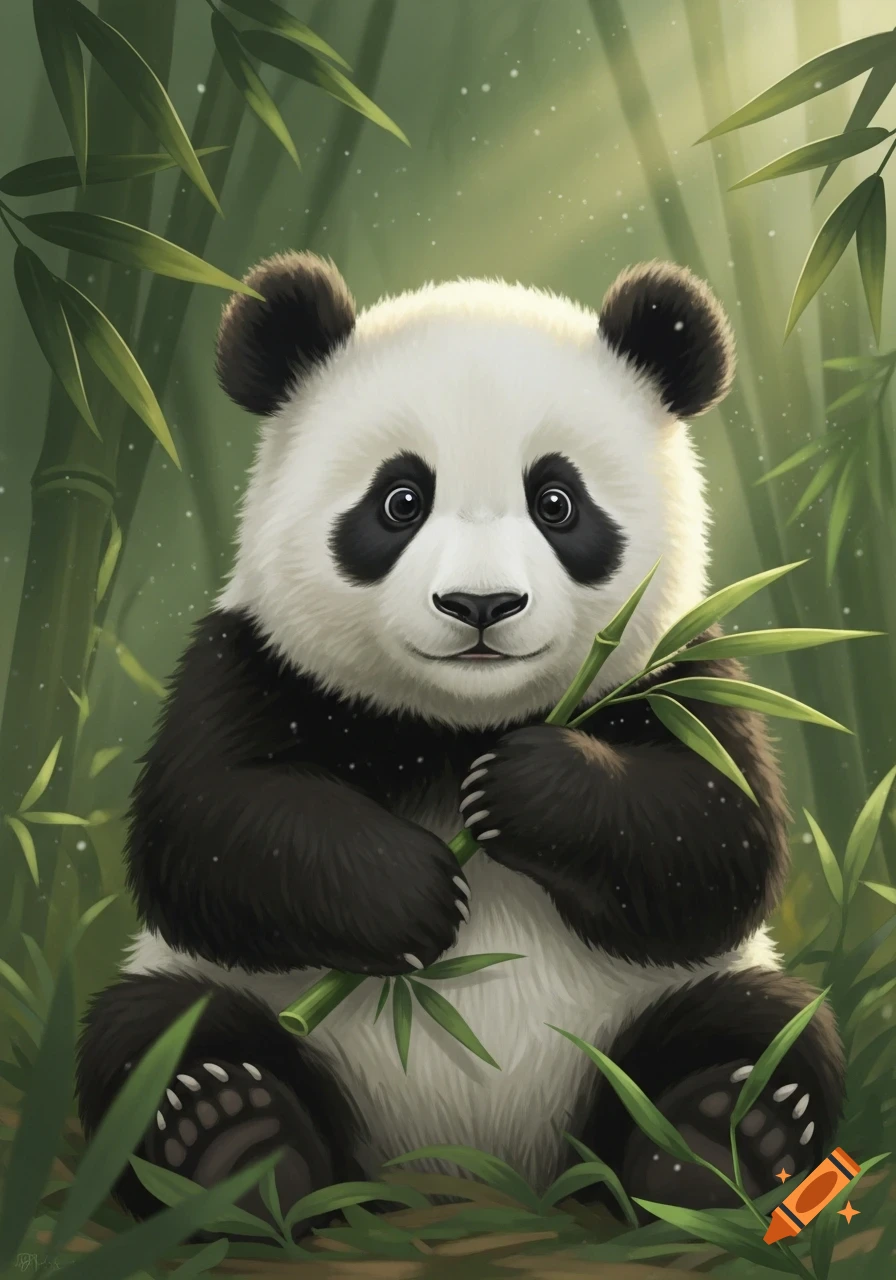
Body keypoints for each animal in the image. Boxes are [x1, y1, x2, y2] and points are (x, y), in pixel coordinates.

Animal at [76, 252, 845, 1236]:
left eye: (557, 502)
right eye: (401, 500)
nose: (481, 605)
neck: (455, 727)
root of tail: (468, 1172)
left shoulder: (679, 673)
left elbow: (720, 841)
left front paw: (528, 791)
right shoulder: (252, 663)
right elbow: (208, 826)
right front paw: (410, 891)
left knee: (766, 1027)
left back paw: (714, 1141)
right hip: (237, 1007)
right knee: (153, 1035)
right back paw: (234, 1143)